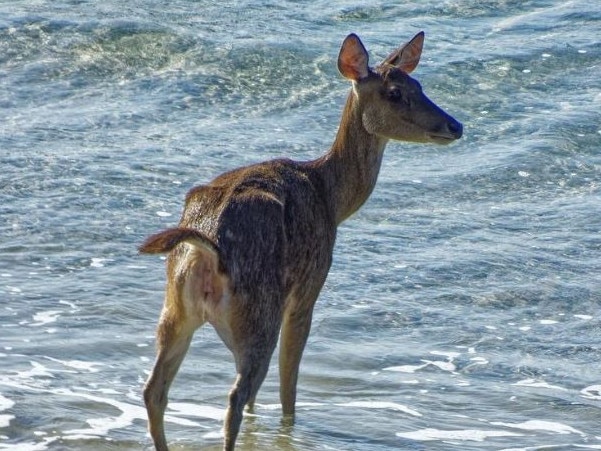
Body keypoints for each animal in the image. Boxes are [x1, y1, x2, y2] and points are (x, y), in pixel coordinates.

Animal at [141, 30, 464, 450]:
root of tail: (204, 250)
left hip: (176, 309)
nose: (455, 125)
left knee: (156, 390)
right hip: (258, 310)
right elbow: (288, 387)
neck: (331, 197)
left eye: (419, 85)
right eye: (394, 93)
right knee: (236, 395)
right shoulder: (308, 289)